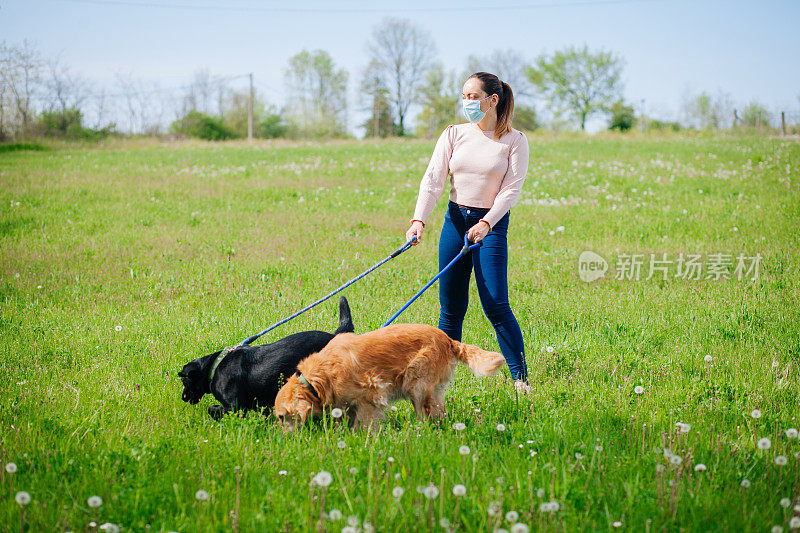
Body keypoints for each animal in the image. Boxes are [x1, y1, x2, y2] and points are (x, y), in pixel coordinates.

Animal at [178, 296, 354, 420]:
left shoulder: (236, 407)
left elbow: (213, 409)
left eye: (184, 381)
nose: (183, 398)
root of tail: (336, 335)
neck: (213, 368)